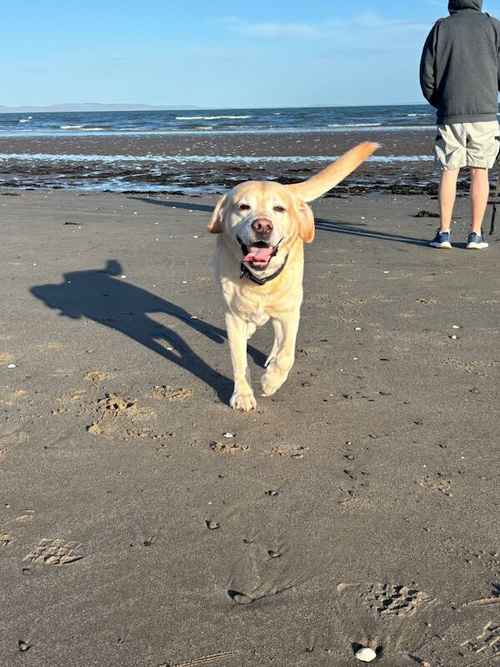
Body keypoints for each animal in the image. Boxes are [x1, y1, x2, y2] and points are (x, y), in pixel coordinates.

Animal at [208, 144, 378, 410]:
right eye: (243, 207)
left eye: (279, 209)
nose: (262, 226)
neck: (260, 281)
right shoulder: (233, 316)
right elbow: (239, 361)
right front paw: (243, 394)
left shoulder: (289, 314)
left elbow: (287, 354)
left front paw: (271, 381)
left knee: (280, 341)